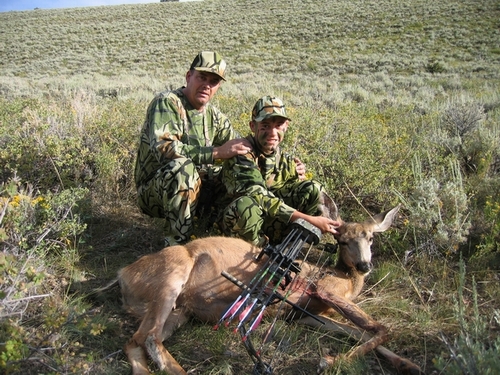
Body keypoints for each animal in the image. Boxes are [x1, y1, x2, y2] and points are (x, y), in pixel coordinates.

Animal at [111, 198, 420, 374]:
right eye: (343, 240)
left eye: (371, 238)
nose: (364, 266)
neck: (343, 278)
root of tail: (123, 273)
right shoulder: (323, 291)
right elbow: (381, 329)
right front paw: (329, 361)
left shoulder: (302, 314)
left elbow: (359, 332)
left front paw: (409, 364)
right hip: (172, 278)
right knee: (149, 337)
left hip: (181, 310)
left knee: (136, 341)